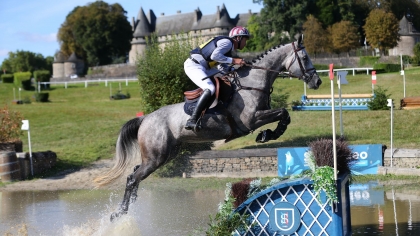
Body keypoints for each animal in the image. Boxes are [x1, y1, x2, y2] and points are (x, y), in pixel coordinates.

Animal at [92, 35, 322, 221]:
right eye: (305, 58)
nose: (317, 81)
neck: (253, 82)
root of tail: (146, 119)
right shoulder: (251, 120)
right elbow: (283, 113)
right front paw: (268, 134)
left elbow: (285, 114)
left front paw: (269, 134)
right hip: (156, 156)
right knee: (132, 178)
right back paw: (119, 213)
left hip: (163, 155)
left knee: (135, 174)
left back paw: (129, 207)